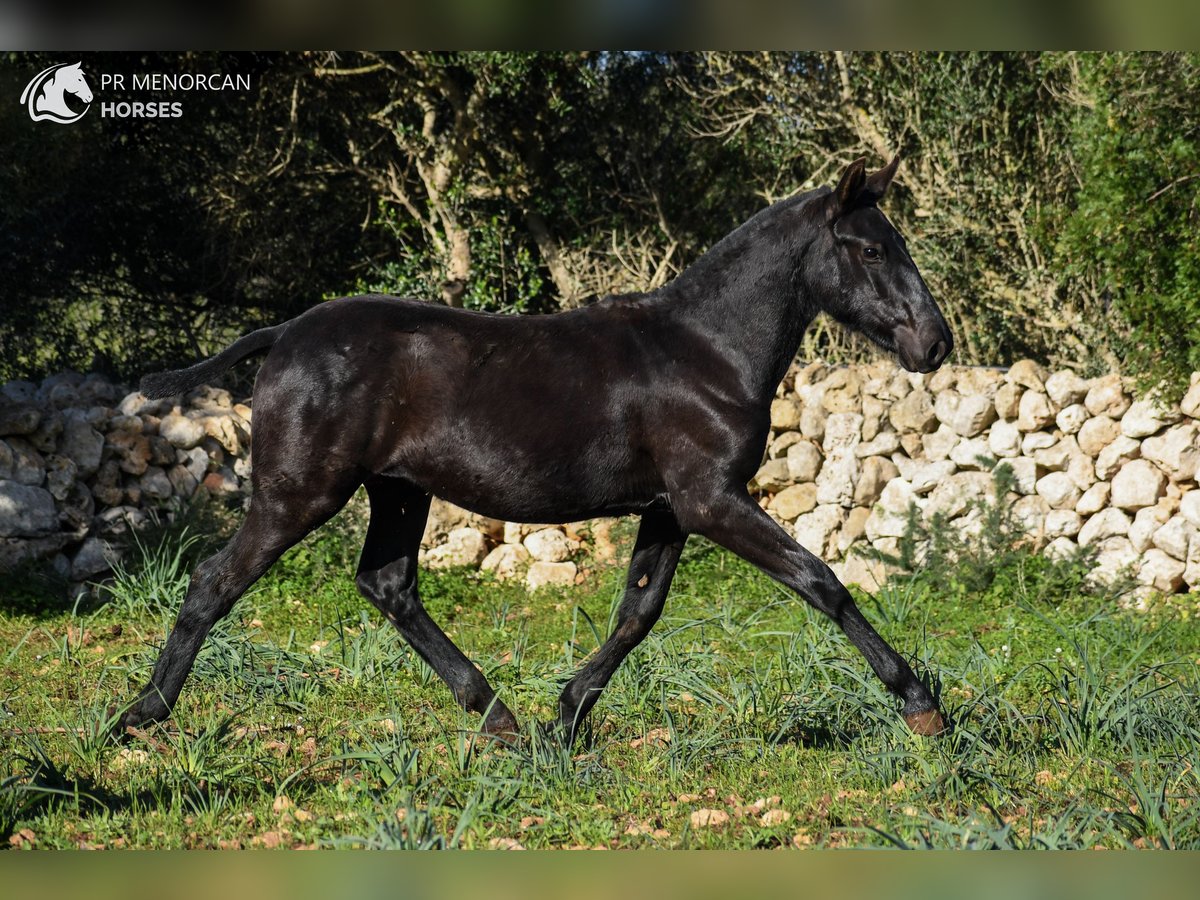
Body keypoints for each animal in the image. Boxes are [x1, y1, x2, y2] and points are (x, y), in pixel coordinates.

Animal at [126, 157, 950, 748]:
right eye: (871, 249)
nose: (934, 344)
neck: (707, 352)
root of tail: (283, 335)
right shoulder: (712, 501)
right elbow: (822, 581)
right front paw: (921, 706)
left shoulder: (669, 510)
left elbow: (637, 613)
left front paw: (567, 716)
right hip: (300, 493)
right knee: (214, 580)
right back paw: (142, 714)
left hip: (399, 489)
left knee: (388, 585)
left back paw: (498, 717)